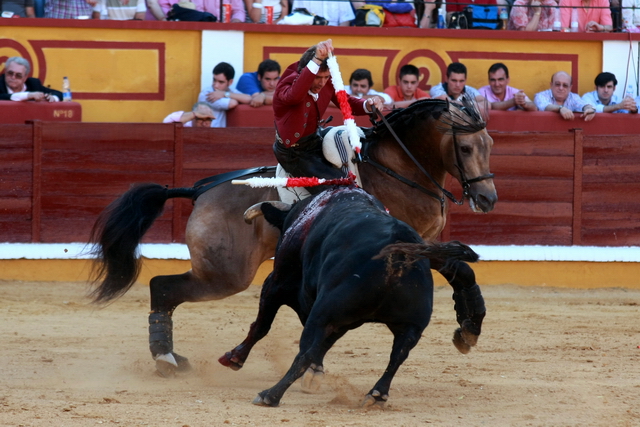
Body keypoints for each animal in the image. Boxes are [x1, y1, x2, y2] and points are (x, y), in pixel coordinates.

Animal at [90, 98, 498, 378]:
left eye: (490, 144)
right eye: (465, 148)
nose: (487, 199)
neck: (398, 167)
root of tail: (199, 191)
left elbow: (460, 268)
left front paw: (468, 327)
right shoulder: (414, 243)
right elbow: (461, 268)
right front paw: (469, 328)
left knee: (165, 289)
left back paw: (175, 358)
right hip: (226, 275)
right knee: (163, 286)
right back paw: (167, 359)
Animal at [220, 187, 480, 408]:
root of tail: (397, 251)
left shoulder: (276, 284)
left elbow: (262, 325)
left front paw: (234, 358)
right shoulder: (345, 320)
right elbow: (324, 345)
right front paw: (315, 374)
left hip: (323, 312)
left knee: (304, 352)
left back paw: (270, 395)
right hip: (411, 323)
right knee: (398, 354)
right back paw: (377, 395)